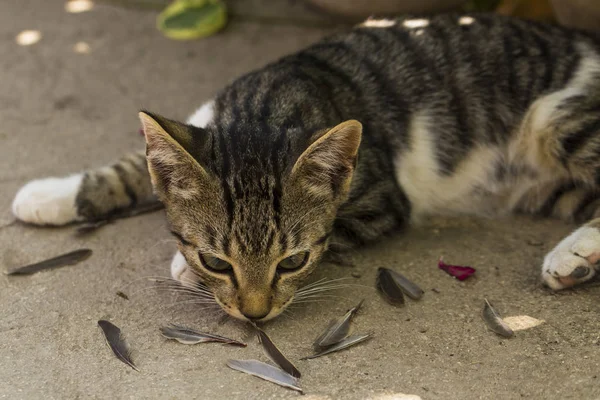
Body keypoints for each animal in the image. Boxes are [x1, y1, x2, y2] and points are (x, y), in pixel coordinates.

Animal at [11, 14, 600, 322]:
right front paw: (49, 194)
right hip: (547, 185)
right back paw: (580, 261)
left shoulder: (383, 200)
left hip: (559, 117)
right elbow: (134, 166)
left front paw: (182, 267)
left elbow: (338, 229)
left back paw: (572, 254)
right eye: (218, 261)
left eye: (292, 262)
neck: (260, 110)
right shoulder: (199, 127)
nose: (254, 315)